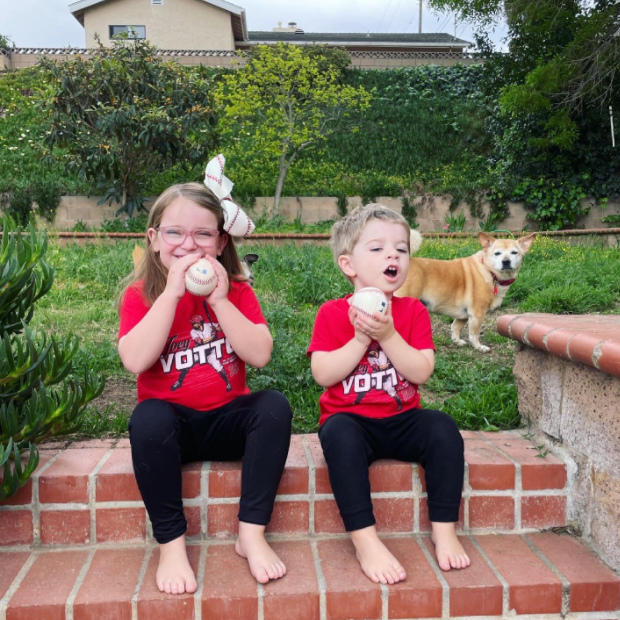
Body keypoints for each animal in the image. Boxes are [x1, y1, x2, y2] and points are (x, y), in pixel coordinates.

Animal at [398, 230, 532, 352]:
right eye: (497, 253)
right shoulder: (477, 314)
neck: (489, 271)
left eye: (514, 252)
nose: (506, 261)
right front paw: (479, 347)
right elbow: (474, 335)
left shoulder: (463, 315)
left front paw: (457, 341)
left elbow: (455, 327)